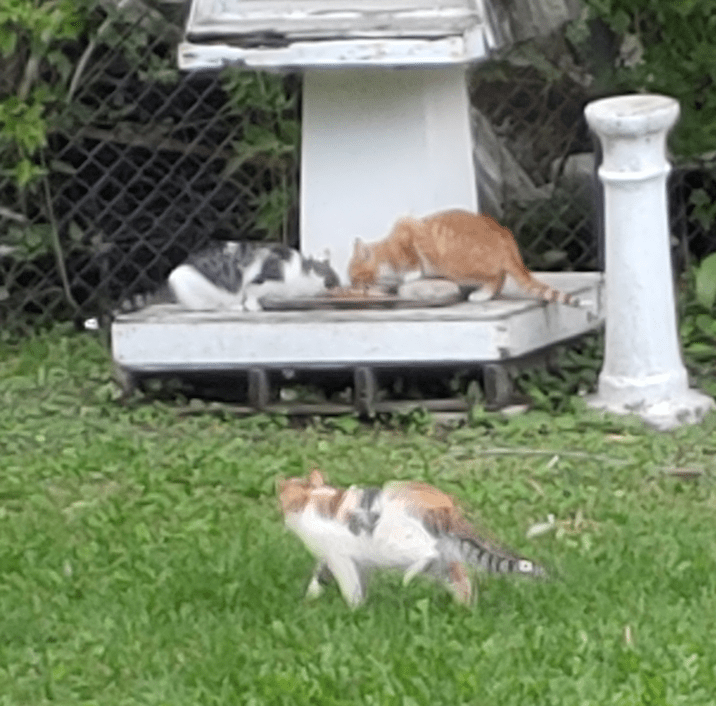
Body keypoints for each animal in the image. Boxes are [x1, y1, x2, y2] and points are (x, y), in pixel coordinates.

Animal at [85, 242, 339, 328]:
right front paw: (254, 307)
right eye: (332, 280)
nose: (337, 285)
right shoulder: (259, 281)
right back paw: (234, 307)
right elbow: (251, 294)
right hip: (195, 287)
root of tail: (168, 281)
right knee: (210, 306)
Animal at [278, 469, 546, 607]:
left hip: (397, 544)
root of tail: (445, 503)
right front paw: (309, 600)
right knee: (461, 579)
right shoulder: (345, 559)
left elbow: (349, 586)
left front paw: (354, 610)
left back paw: (409, 577)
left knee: (428, 555)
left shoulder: (339, 556)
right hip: (444, 555)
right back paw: (463, 609)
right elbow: (321, 578)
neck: (314, 498)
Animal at [348, 209, 582, 306]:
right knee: (500, 278)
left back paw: (481, 295)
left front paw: (410, 275)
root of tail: (505, 236)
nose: (353, 287)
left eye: (355, 278)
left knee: (495, 278)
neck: (387, 252)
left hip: (458, 269)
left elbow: (413, 262)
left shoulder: (407, 232)